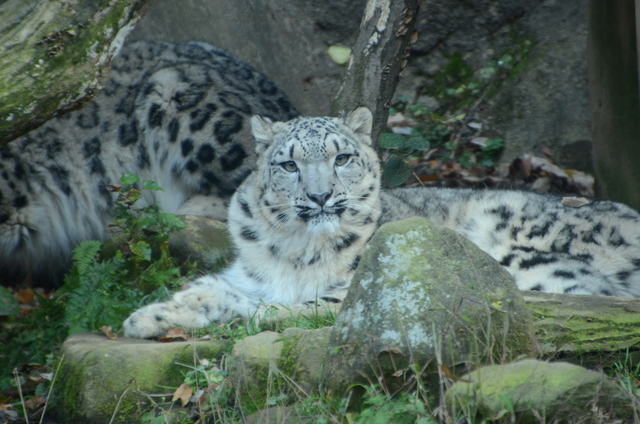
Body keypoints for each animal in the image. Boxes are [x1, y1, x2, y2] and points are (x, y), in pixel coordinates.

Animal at [121, 107, 640, 340]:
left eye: (342, 157)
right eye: (288, 164)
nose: (320, 195)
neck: (295, 251)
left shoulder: (349, 292)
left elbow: (294, 309)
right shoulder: (248, 275)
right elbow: (215, 288)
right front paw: (149, 316)